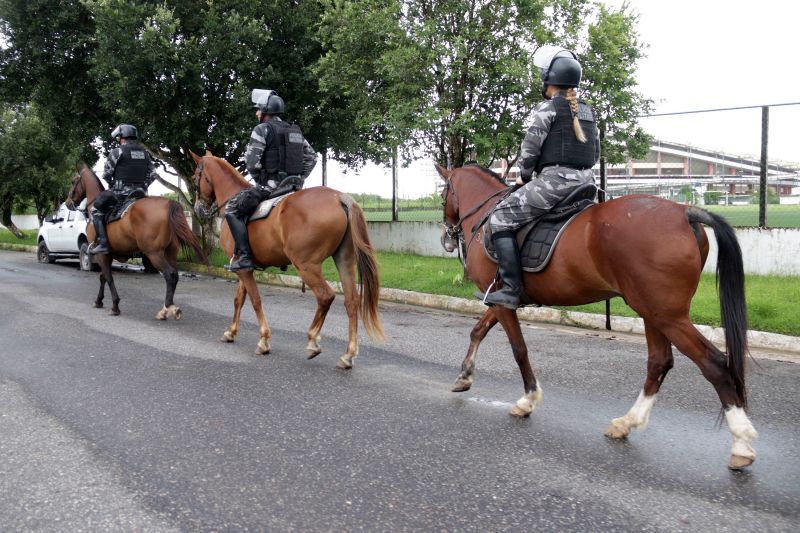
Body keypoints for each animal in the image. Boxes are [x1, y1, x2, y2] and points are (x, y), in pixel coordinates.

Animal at [66, 162, 206, 318]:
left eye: (73, 181)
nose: (67, 202)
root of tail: (169, 203)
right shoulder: (108, 254)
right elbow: (103, 277)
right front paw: (99, 300)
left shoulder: (101, 254)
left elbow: (108, 277)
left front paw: (115, 305)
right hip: (170, 253)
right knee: (175, 275)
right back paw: (168, 307)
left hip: (154, 254)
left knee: (169, 275)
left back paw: (166, 309)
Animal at [191, 150, 384, 366]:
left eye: (195, 178)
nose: (198, 208)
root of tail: (339, 198)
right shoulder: (242, 267)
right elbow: (239, 299)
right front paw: (231, 332)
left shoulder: (243, 269)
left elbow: (255, 300)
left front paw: (264, 340)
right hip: (344, 261)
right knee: (351, 301)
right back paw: (348, 354)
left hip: (306, 266)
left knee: (325, 296)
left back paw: (313, 341)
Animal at [438, 164, 756, 468]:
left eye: (443, 193)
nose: (447, 237)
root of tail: (684, 211)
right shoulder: (499, 300)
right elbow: (478, 331)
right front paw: (464, 376)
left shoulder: (503, 303)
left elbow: (519, 349)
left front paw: (528, 399)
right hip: (652, 312)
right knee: (659, 362)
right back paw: (627, 422)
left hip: (668, 316)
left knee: (714, 364)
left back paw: (741, 443)